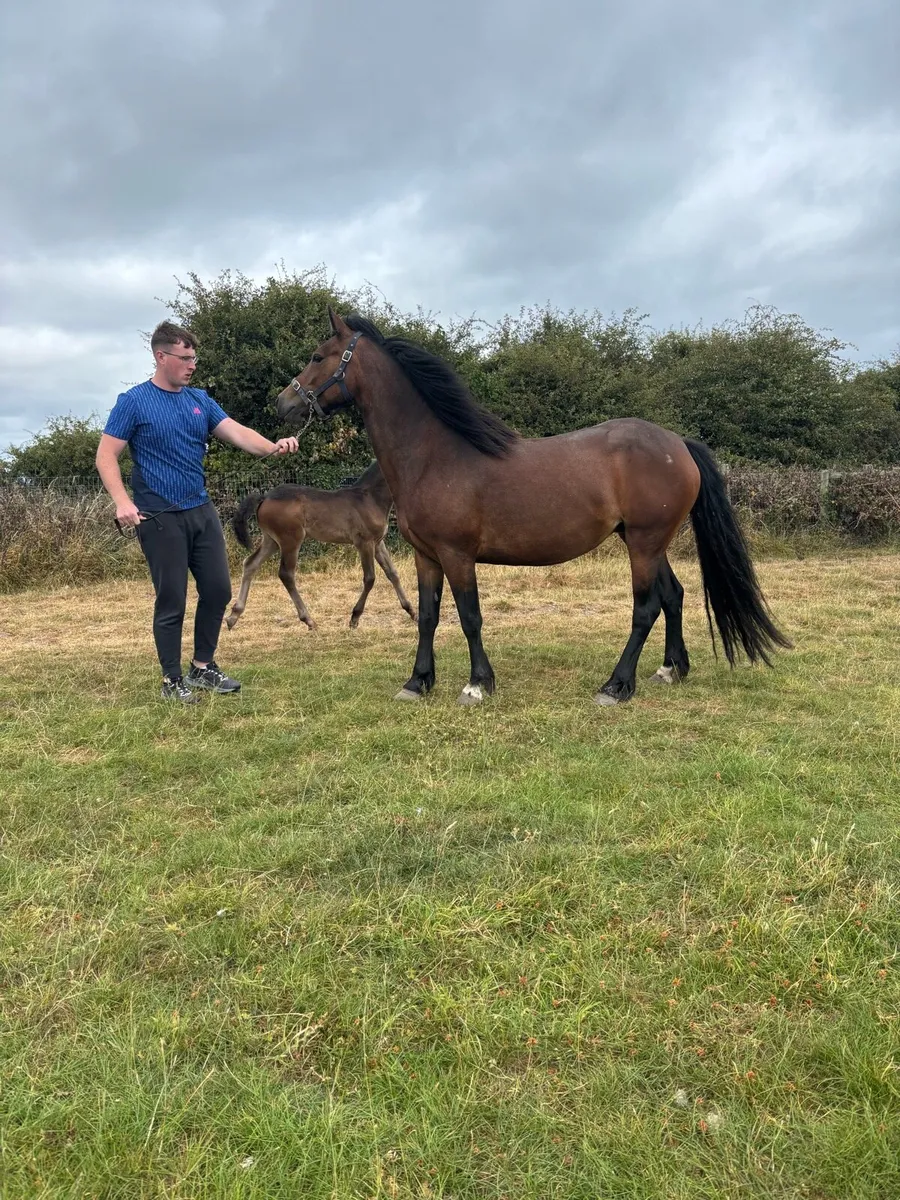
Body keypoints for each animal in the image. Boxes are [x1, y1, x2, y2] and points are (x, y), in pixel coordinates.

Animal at [225, 460, 414, 632]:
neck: (370, 498)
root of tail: (265, 497)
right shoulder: (364, 543)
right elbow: (370, 579)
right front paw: (354, 618)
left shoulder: (378, 542)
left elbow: (392, 573)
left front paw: (412, 611)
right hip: (290, 540)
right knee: (286, 574)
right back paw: (309, 620)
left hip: (271, 541)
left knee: (250, 564)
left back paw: (234, 615)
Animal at [274, 309, 790, 705]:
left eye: (318, 356)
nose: (283, 403)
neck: (435, 455)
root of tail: (678, 444)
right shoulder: (426, 557)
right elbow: (427, 617)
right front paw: (417, 682)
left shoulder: (458, 556)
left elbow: (470, 617)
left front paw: (477, 685)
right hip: (647, 541)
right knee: (674, 596)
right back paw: (670, 669)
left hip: (644, 543)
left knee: (646, 608)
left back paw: (616, 685)